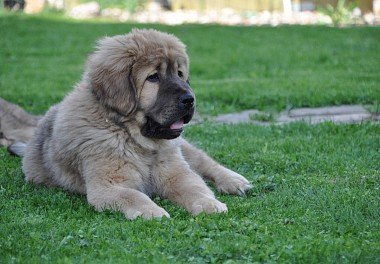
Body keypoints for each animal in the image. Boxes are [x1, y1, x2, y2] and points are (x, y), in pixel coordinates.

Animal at [21, 28, 252, 220]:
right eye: (153, 77)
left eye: (179, 74)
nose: (190, 99)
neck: (133, 138)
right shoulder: (109, 185)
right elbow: (133, 196)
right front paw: (152, 211)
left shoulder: (176, 173)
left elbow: (195, 186)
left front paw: (209, 204)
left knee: (204, 161)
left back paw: (234, 181)